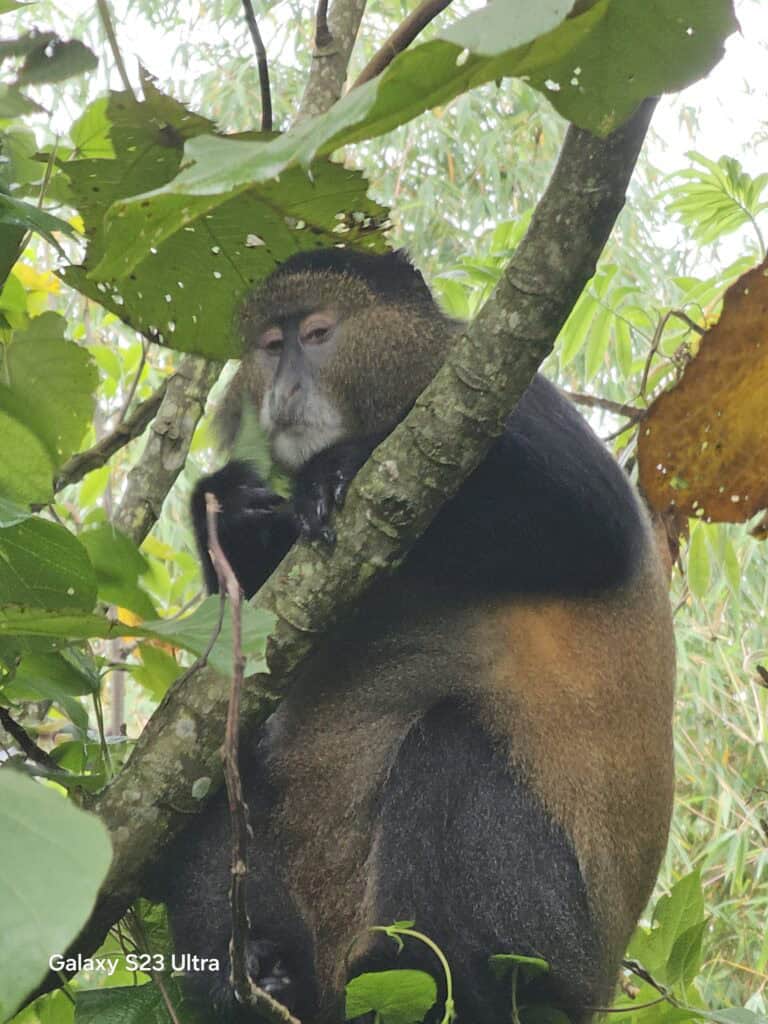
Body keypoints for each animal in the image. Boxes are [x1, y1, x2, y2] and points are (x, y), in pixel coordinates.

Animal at [158, 247, 675, 1024]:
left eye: (317, 334)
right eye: (271, 345)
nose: (284, 387)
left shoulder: (516, 401)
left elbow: (588, 522)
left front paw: (335, 470)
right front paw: (229, 509)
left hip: (556, 934)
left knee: (452, 747)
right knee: (223, 755)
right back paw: (257, 971)